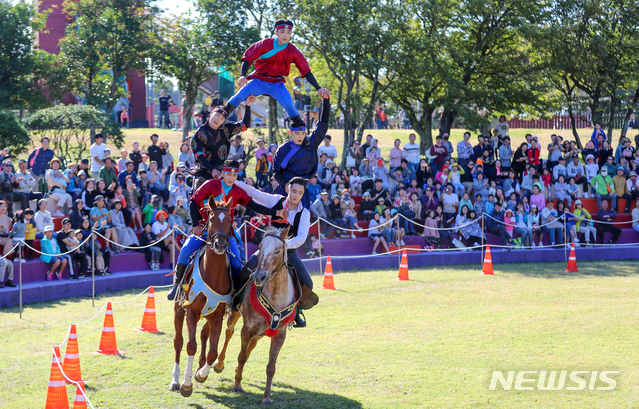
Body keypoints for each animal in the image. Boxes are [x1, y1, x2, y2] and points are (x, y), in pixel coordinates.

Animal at [169, 197, 234, 396]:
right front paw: (186, 384)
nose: (220, 245)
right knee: (178, 342)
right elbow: (190, 345)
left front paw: (201, 374)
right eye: (211, 219)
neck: (213, 274)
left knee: (205, 334)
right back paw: (175, 380)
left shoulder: (218, 316)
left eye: (229, 221)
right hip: (178, 308)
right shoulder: (191, 312)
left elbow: (213, 352)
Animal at [212, 225, 298, 404]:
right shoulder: (247, 328)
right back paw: (219, 364)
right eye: (260, 247)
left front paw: (267, 397)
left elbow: (270, 367)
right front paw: (237, 385)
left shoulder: (280, 334)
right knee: (229, 333)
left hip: (261, 331)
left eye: (278, 251)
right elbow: (241, 356)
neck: (275, 296)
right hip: (235, 315)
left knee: (252, 344)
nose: (259, 276)